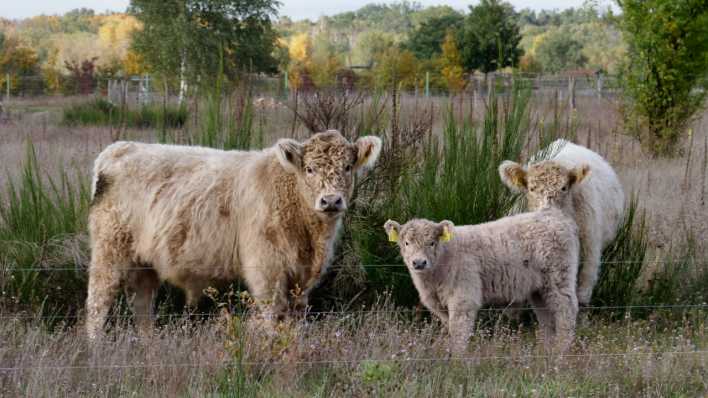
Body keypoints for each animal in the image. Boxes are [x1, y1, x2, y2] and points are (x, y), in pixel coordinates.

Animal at [85, 131, 382, 338]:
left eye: (347, 167)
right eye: (310, 169)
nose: (331, 200)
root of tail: (120, 147)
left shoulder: (302, 281)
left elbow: (295, 321)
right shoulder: (267, 273)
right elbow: (271, 317)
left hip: (144, 264)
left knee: (142, 306)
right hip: (109, 253)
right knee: (97, 304)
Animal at [384, 211, 580, 352]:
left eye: (431, 243)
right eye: (407, 243)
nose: (419, 262)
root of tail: (557, 217)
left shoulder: (463, 298)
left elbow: (459, 331)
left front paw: (457, 364)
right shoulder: (438, 304)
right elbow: (451, 328)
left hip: (558, 278)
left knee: (566, 310)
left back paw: (561, 351)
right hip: (538, 289)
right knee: (546, 316)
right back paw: (546, 351)